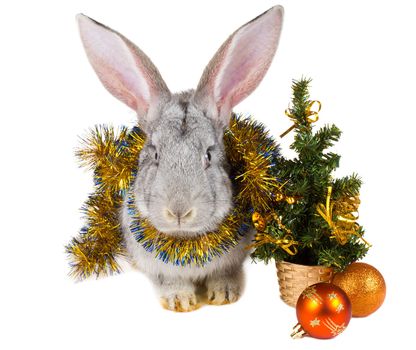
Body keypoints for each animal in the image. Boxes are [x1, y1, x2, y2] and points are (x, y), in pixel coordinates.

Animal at [76, 4, 284, 312]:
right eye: (155, 154)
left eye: (208, 155)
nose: (178, 212)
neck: (186, 240)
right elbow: (172, 282)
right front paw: (181, 301)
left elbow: (225, 274)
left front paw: (224, 295)